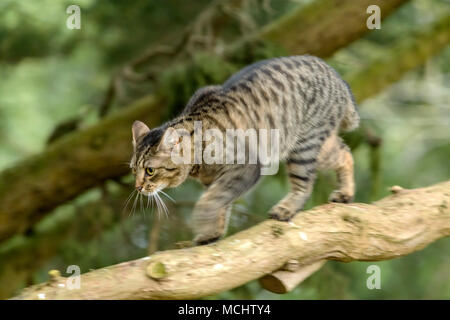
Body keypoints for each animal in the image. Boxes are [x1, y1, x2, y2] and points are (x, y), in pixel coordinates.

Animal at [129, 55, 358, 245]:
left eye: (150, 170)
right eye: (133, 169)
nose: (138, 187)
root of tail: (337, 78)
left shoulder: (246, 166)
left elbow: (209, 200)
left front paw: (203, 222)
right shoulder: (215, 180)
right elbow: (221, 203)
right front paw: (212, 233)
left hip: (303, 147)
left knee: (304, 183)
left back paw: (287, 208)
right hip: (319, 145)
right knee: (345, 153)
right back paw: (345, 192)